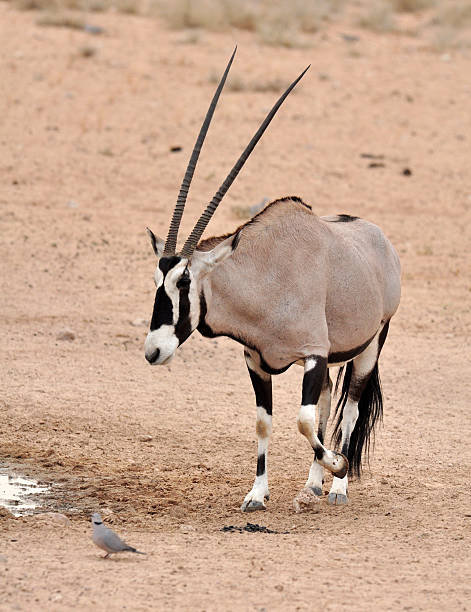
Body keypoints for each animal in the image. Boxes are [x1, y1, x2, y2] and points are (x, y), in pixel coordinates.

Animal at [145, 47, 402, 510]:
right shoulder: (257, 360)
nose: (153, 351)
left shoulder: (313, 355)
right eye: (158, 282)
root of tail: (381, 241)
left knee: (350, 409)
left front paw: (338, 466)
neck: (265, 277)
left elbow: (304, 421)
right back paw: (313, 485)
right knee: (327, 404)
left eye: (185, 283)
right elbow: (268, 422)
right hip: (334, 357)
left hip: (370, 345)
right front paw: (256, 494)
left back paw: (337, 486)